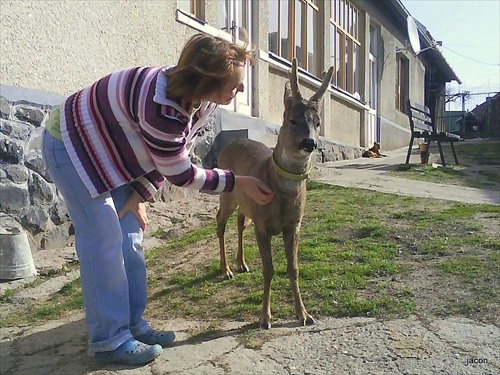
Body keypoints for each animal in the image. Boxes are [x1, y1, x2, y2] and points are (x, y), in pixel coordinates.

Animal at [215, 58, 332, 328]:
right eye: (292, 120)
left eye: (317, 123)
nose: (310, 143)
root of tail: (229, 144)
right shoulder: (263, 224)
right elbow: (268, 269)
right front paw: (264, 318)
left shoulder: (294, 224)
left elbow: (293, 268)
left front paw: (304, 314)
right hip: (227, 196)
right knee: (220, 222)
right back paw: (226, 269)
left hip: (246, 204)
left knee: (240, 222)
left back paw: (242, 264)